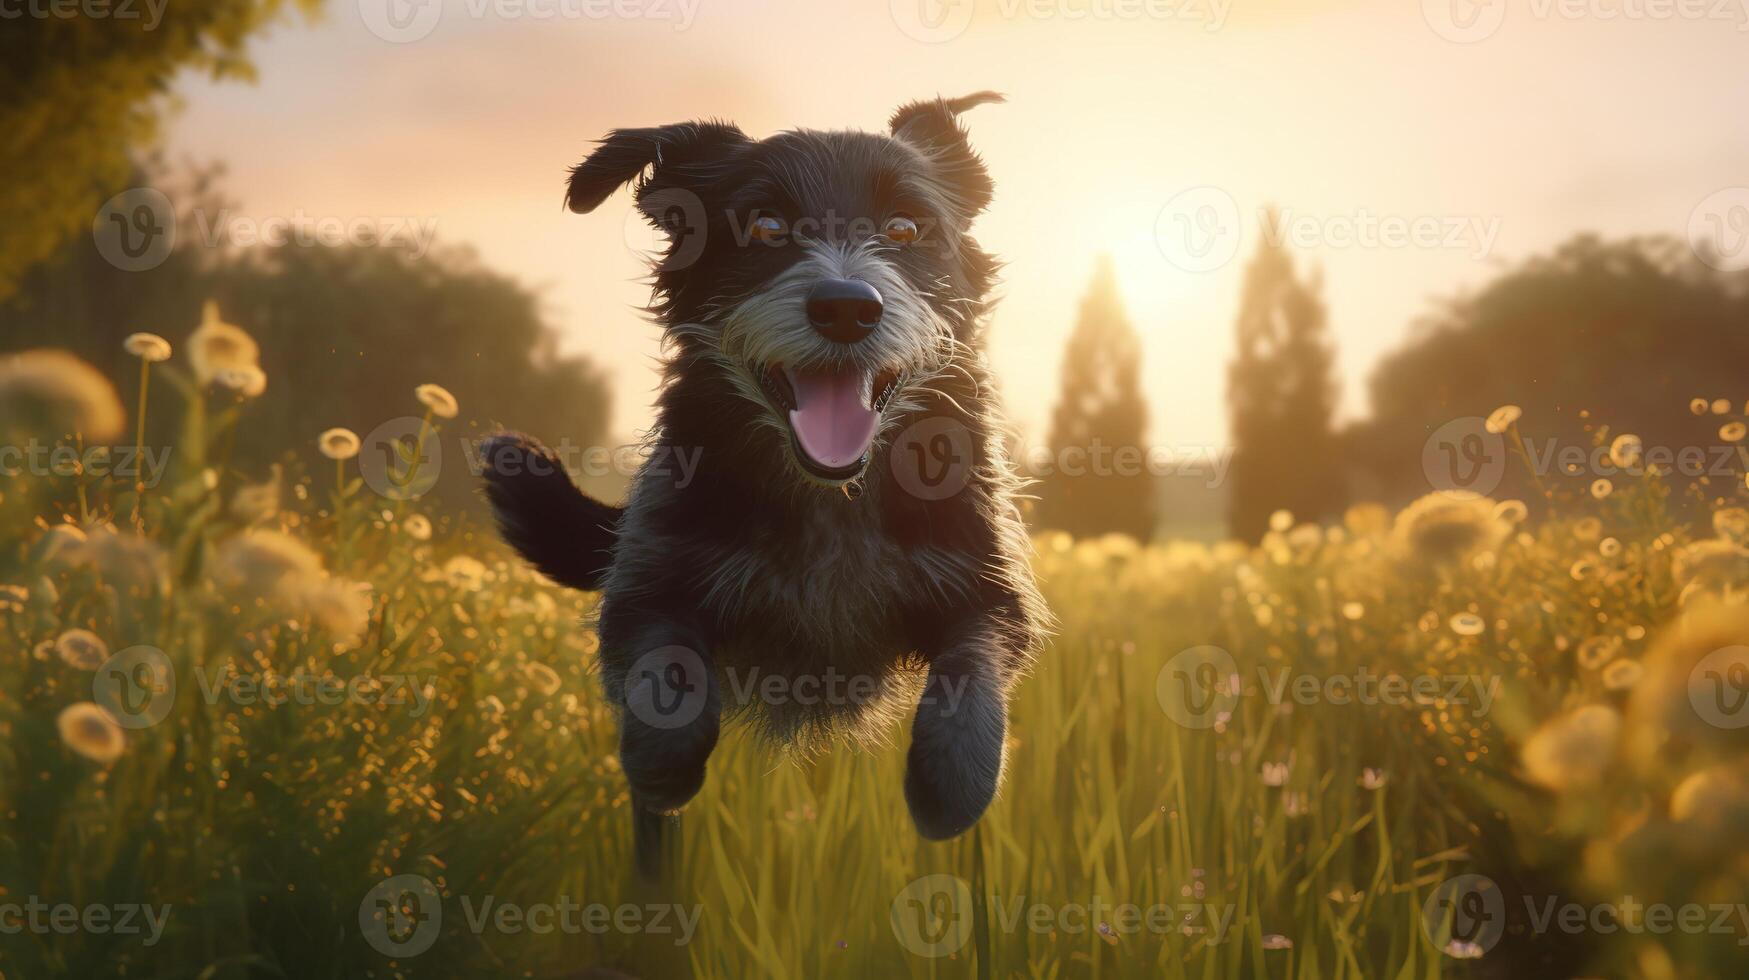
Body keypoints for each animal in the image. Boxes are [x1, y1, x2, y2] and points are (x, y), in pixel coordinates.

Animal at [479, 93, 1042, 871]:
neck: (829, 498)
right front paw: (663, 766)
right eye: (766, 226)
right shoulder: (647, 581)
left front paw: (953, 785)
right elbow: (667, 668)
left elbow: (974, 667)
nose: (846, 307)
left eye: (905, 226)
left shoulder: (989, 584)